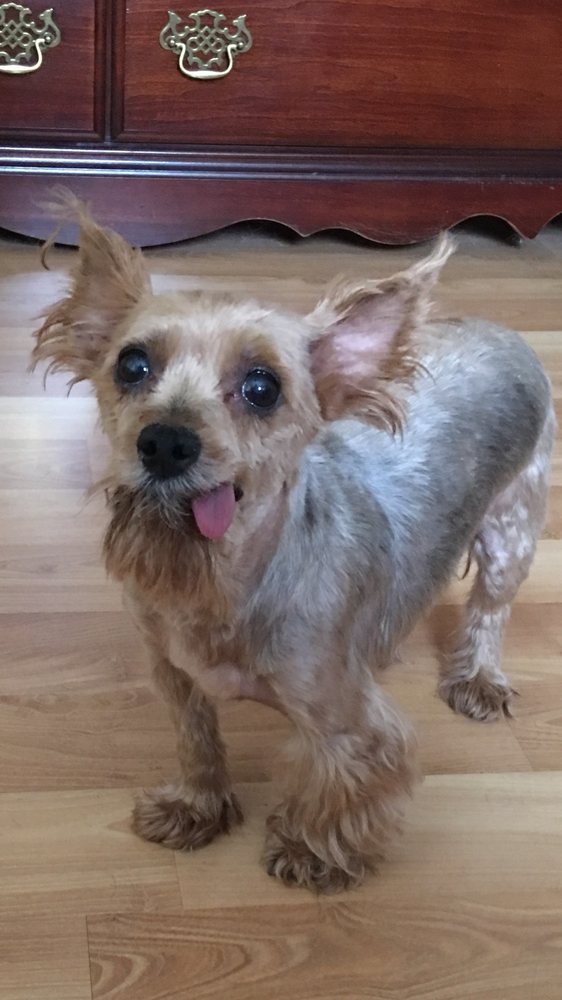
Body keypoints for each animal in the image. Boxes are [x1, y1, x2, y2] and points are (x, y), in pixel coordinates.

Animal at [32, 200, 554, 893]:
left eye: (262, 388)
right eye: (132, 365)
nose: (165, 442)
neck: (222, 582)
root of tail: (502, 331)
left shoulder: (345, 721)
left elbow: (340, 787)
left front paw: (313, 852)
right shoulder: (173, 671)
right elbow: (197, 741)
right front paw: (197, 806)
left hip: (514, 522)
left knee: (492, 608)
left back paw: (479, 676)